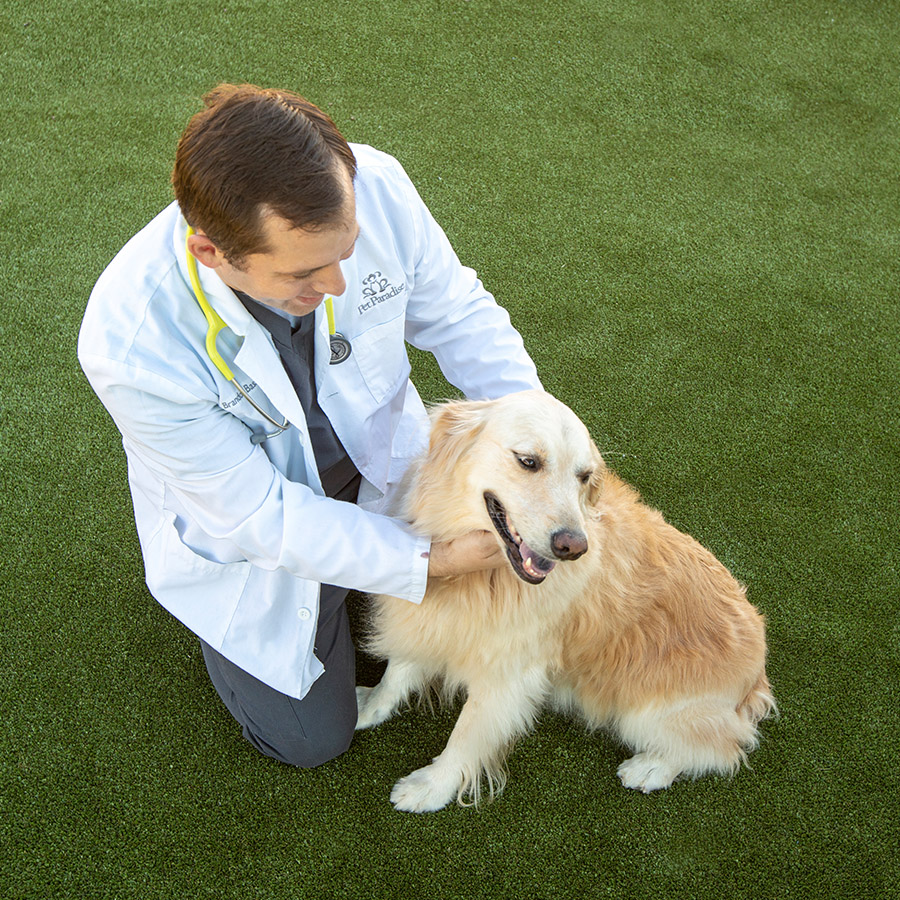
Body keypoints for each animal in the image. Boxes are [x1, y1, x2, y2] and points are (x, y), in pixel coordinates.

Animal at [356, 390, 776, 812]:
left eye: (584, 476)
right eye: (528, 461)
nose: (573, 546)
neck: (487, 581)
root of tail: (757, 676)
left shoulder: (509, 675)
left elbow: (466, 734)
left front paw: (432, 786)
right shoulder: (427, 616)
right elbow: (398, 670)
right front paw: (369, 705)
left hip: (649, 711)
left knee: (723, 747)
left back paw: (651, 768)